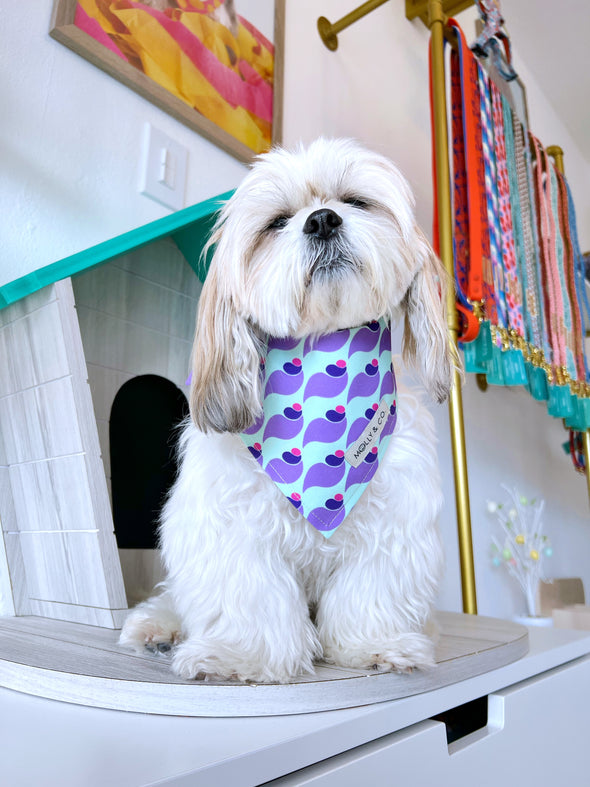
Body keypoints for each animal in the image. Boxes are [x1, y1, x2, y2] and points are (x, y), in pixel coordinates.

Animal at [119, 137, 454, 684]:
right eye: (277, 222)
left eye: (355, 201)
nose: (322, 220)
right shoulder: (233, 524)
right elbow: (249, 596)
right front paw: (238, 656)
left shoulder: (392, 523)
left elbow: (370, 592)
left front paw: (375, 646)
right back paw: (159, 627)